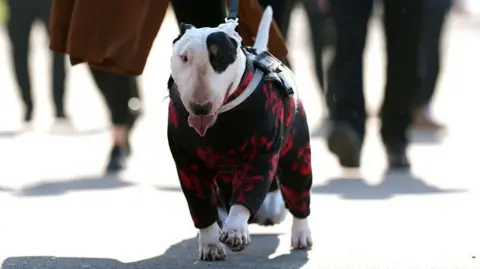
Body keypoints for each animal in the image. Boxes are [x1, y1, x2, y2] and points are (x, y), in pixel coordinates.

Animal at [167, 7, 314, 260]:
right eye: (183, 58)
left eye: (221, 58)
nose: (200, 108)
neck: (221, 120)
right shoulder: (187, 164)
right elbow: (200, 204)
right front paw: (211, 244)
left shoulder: (261, 153)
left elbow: (249, 191)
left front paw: (235, 230)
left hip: (297, 152)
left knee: (297, 189)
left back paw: (301, 234)